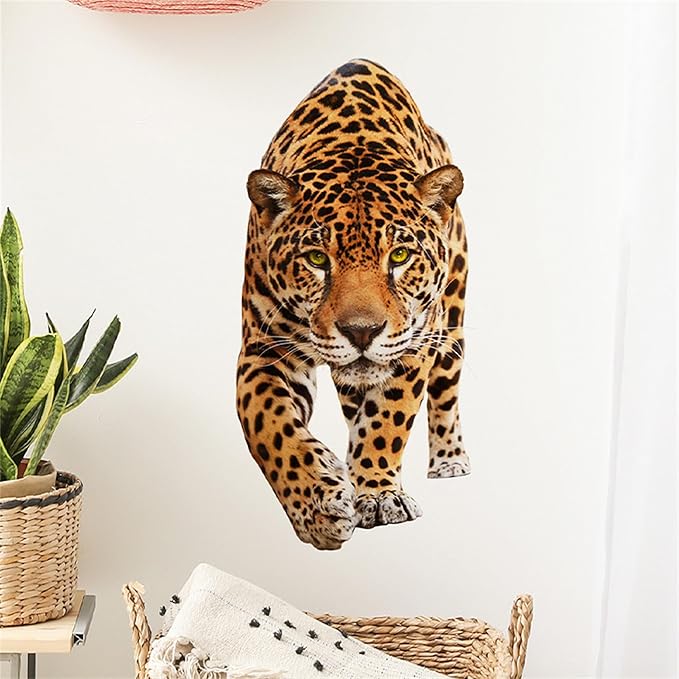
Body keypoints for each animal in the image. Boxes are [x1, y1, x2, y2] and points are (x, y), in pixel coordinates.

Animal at [237, 59, 470, 550]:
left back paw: (449, 459)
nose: (361, 331)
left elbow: (388, 419)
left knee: (446, 393)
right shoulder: (264, 350)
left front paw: (379, 495)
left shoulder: (414, 342)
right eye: (316, 259)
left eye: (399, 256)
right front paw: (317, 507)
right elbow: (269, 427)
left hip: (452, 324)